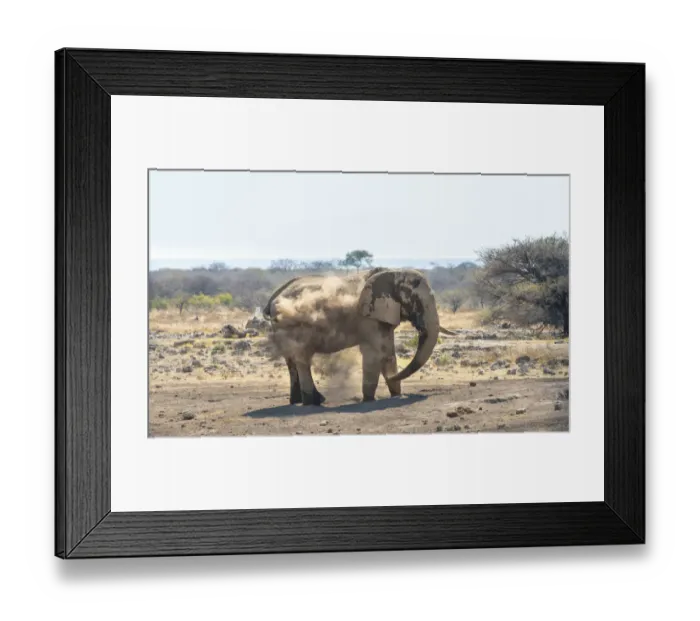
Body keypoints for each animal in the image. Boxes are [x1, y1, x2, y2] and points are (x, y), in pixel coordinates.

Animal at [263, 268, 453, 405]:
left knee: (292, 361)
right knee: (302, 358)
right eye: (416, 301)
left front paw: (396, 395)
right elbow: (377, 353)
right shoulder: (368, 317)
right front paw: (369, 400)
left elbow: (389, 354)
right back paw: (311, 403)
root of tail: (273, 297)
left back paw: (302, 401)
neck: (392, 273)